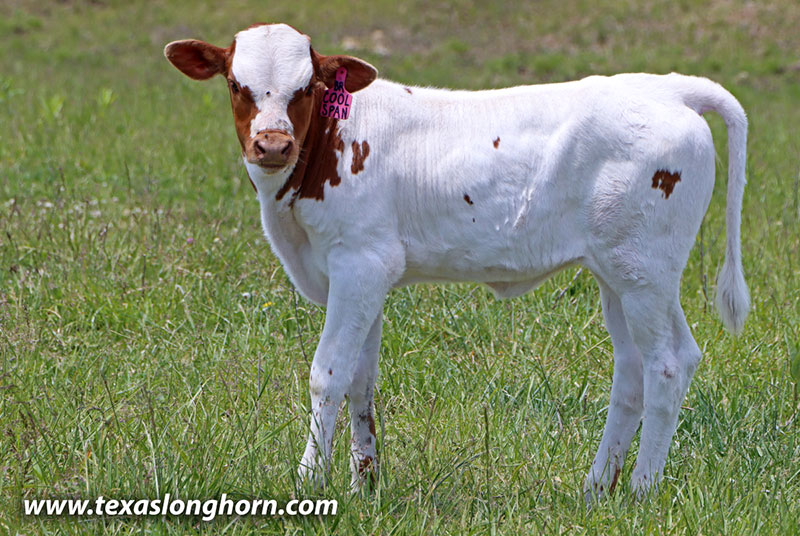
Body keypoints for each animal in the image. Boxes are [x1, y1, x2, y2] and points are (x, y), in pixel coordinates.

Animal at [164, 23, 749, 501]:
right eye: (236, 85)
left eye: (305, 87)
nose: (271, 144)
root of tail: (666, 87)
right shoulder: (368, 277)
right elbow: (361, 379)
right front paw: (364, 485)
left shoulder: (359, 264)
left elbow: (327, 374)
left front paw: (309, 484)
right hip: (618, 275)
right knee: (634, 371)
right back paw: (595, 489)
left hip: (645, 273)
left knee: (667, 364)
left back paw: (641, 490)